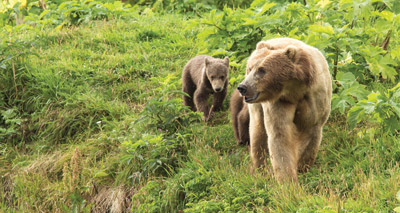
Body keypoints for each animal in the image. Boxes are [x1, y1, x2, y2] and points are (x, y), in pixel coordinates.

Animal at [236, 37, 332, 181]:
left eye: (261, 70)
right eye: (250, 68)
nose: (242, 87)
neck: (294, 89)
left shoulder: (315, 99)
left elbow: (310, 131)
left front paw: (302, 167)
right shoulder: (280, 102)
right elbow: (280, 136)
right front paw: (288, 179)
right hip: (257, 106)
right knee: (258, 131)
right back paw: (260, 167)